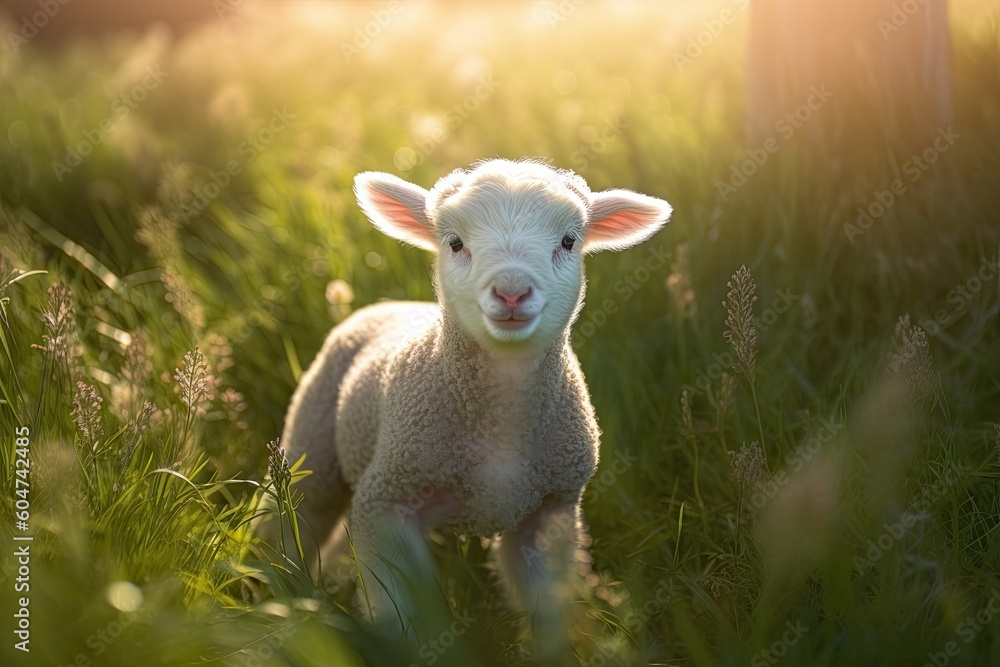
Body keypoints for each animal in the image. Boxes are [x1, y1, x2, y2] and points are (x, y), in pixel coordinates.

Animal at [266, 158, 671, 654]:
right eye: (455, 242)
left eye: (568, 240)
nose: (512, 292)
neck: (499, 423)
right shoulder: (386, 501)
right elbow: (403, 612)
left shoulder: (550, 511)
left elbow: (548, 609)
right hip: (314, 444)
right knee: (296, 520)